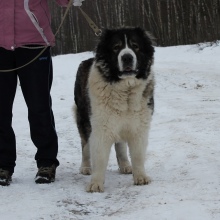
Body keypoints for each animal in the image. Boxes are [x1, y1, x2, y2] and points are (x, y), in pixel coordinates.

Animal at [74, 27, 155, 192]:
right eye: (116, 47)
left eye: (135, 46)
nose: (127, 57)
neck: (125, 90)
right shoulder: (100, 128)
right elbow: (99, 156)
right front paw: (96, 183)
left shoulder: (139, 127)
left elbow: (138, 155)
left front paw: (140, 177)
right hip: (84, 119)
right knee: (85, 145)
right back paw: (85, 167)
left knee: (120, 145)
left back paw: (125, 165)